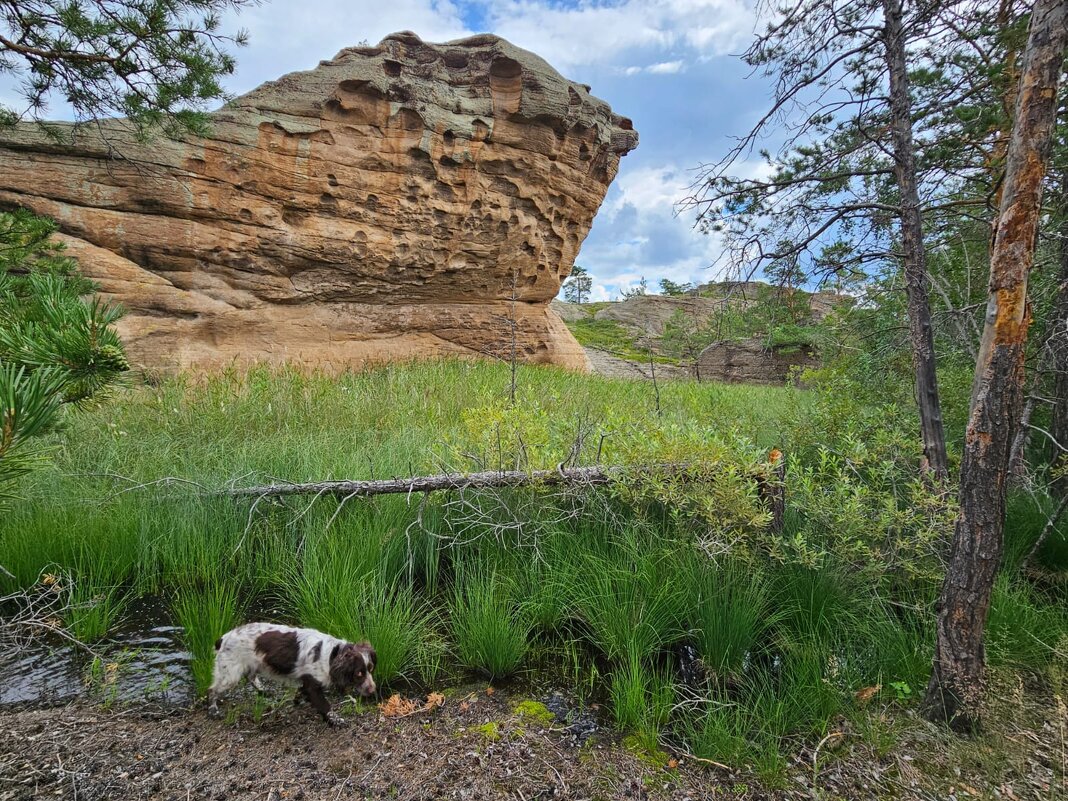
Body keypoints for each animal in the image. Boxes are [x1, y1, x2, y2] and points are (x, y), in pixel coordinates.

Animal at [206, 619, 378, 726]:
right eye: (359, 673)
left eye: (370, 669)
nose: (372, 690)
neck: (331, 654)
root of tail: (223, 638)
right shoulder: (312, 685)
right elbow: (325, 706)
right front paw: (336, 720)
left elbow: (301, 692)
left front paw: (297, 699)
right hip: (230, 674)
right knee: (212, 690)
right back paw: (213, 710)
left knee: (250, 676)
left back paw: (262, 690)